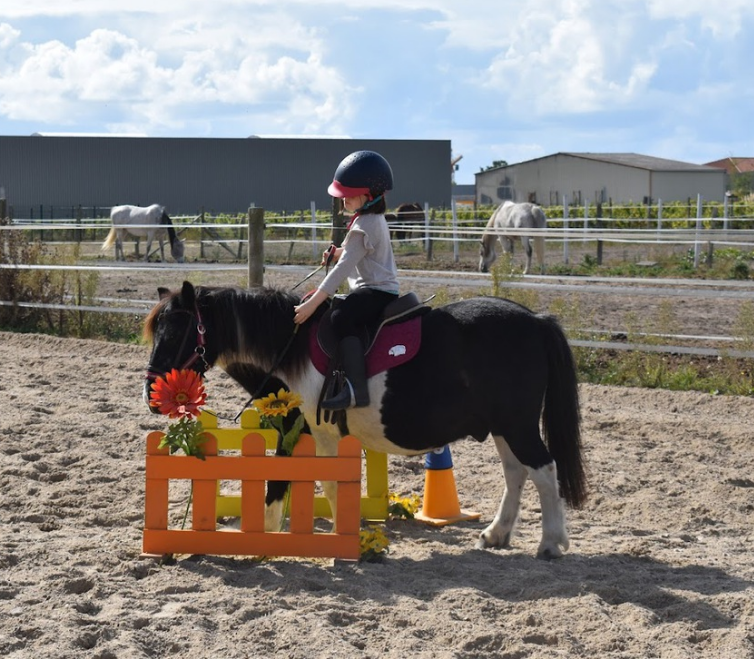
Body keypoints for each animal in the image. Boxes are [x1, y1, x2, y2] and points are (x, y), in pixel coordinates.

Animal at [142, 282, 588, 560]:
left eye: (179, 329)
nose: (151, 392)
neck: (292, 350)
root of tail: (536, 320)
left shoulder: (304, 431)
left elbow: (291, 482)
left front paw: (263, 540)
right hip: (503, 427)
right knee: (517, 473)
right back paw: (497, 533)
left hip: (518, 425)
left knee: (543, 470)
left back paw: (551, 543)